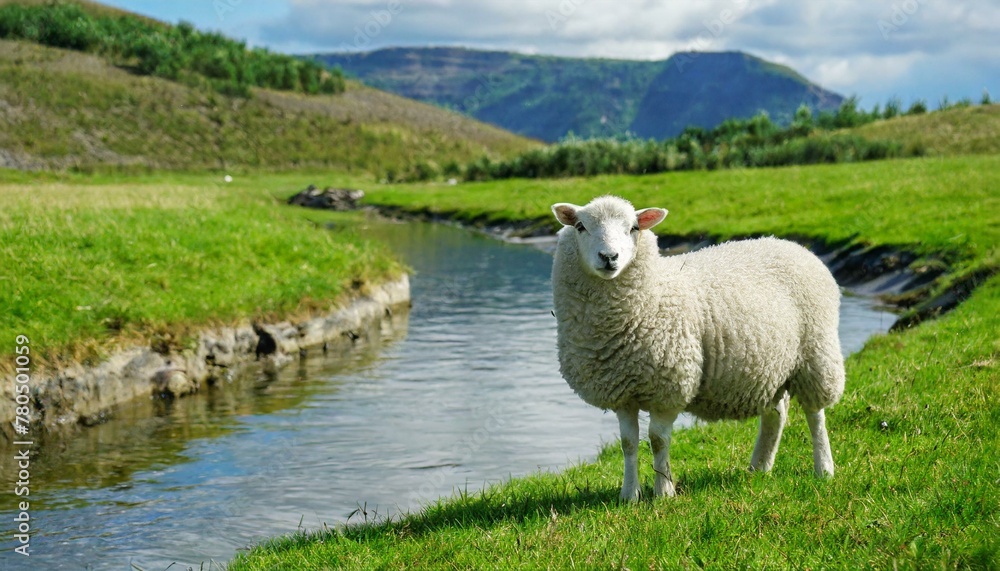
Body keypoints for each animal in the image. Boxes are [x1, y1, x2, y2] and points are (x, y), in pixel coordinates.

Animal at [550, 195, 845, 500]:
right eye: (580, 227)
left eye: (633, 228)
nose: (609, 257)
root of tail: (790, 244)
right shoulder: (623, 391)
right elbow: (628, 443)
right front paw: (630, 495)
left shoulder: (670, 387)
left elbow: (658, 440)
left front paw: (664, 491)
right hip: (772, 365)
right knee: (777, 413)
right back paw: (760, 466)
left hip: (816, 354)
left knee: (815, 414)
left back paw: (824, 469)